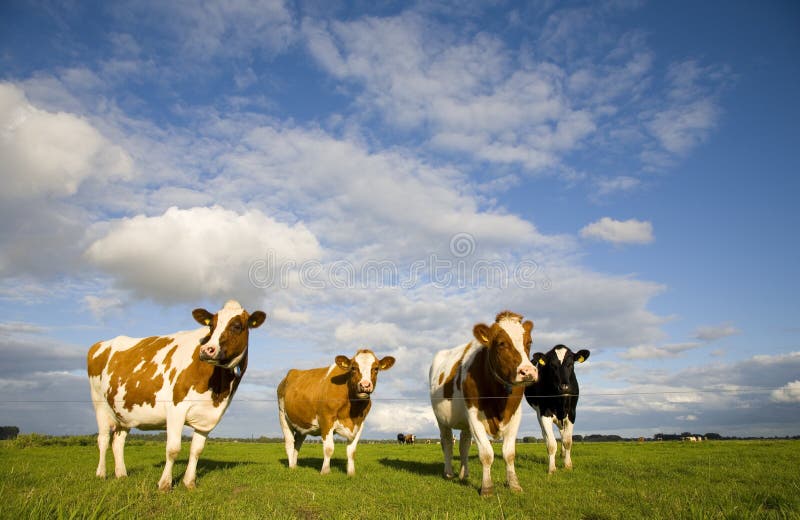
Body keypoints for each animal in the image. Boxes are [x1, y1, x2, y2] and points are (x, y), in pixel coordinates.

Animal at [87, 300, 268, 492]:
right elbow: (173, 449)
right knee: (103, 439)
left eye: (237, 326)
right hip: (99, 405)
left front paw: (189, 483)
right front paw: (165, 484)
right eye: (211, 325)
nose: (207, 350)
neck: (218, 391)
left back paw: (121, 474)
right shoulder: (176, 409)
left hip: (124, 412)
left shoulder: (207, 417)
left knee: (118, 441)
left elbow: (197, 450)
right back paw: (101, 474)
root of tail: (100, 344)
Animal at [432, 310, 536, 498]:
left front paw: (514, 485)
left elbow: (509, 453)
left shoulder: (515, 415)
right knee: (447, 443)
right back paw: (449, 473)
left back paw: (464, 474)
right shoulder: (474, 415)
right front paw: (487, 488)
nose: (528, 372)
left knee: (464, 445)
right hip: (441, 419)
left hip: (465, 423)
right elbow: (486, 454)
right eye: (501, 343)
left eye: (529, 342)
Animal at [520, 346, 592, 476]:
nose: (564, 387)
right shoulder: (544, 413)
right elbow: (552, 444)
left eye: (570, 364)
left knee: (562, 433)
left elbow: (567, 441)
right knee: (545, 435)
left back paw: (563, 455)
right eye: (552, 365)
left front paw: (568, 465)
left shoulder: (572, 413)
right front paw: (552, 469)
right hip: (539, 412)